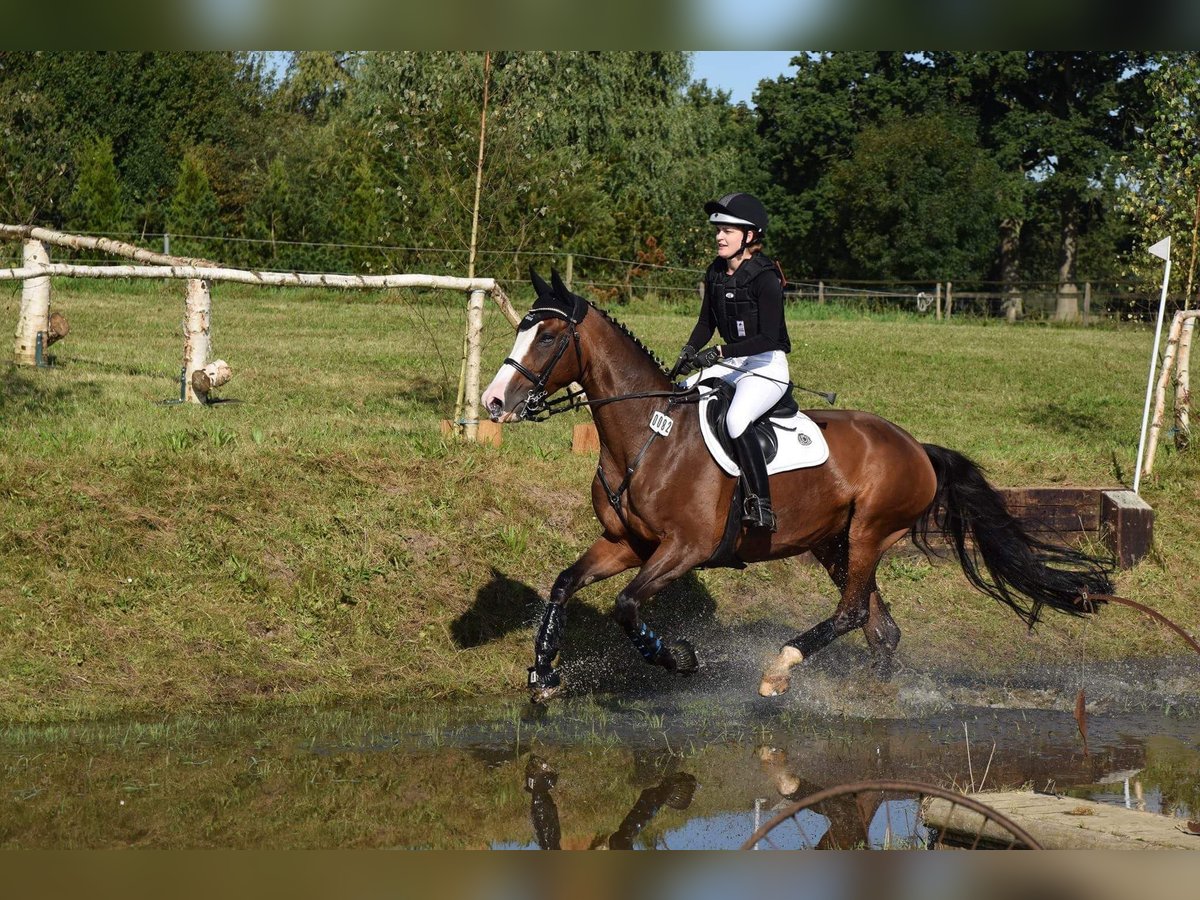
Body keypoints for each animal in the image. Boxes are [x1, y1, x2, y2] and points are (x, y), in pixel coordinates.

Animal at [480, 271, 1113, 710]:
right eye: (521, 327)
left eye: (549, 336)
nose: (493, 402)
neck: (646, 437)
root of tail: (917, 448)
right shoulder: (628, 544)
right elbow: (564, 585)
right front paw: (543, 674)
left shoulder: (685, 549)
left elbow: (627, 604)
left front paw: (679, 659)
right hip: (834, 543)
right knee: (881, 628)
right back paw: (871, 698)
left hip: (869, 533)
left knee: (855, 613)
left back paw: (779, 669)